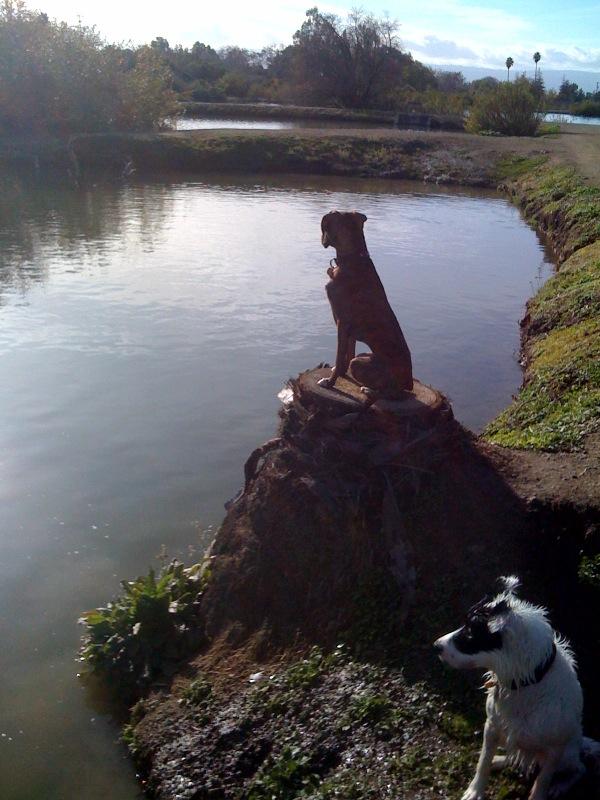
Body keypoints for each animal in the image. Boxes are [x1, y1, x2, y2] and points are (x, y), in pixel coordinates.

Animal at [318, 211, 412, 398]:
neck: (353, 258)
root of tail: (410, 382)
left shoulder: (342, 323)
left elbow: (340, 355)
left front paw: (330, 383)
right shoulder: (349, 331)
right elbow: (348, 354)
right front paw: (341, 374)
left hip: (361, 363)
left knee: (393, 394)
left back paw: (369, 389)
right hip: (364, 355)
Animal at [434, 580, 596, 796]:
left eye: (470, 633)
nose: (436, 645)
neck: (525, 683)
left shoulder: (554, 752)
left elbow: (541, 783)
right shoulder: (492, 726)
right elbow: (483, 762)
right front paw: (475, 791)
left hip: (566, 755)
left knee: (579, 768)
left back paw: (560, 786)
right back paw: (500, 760)